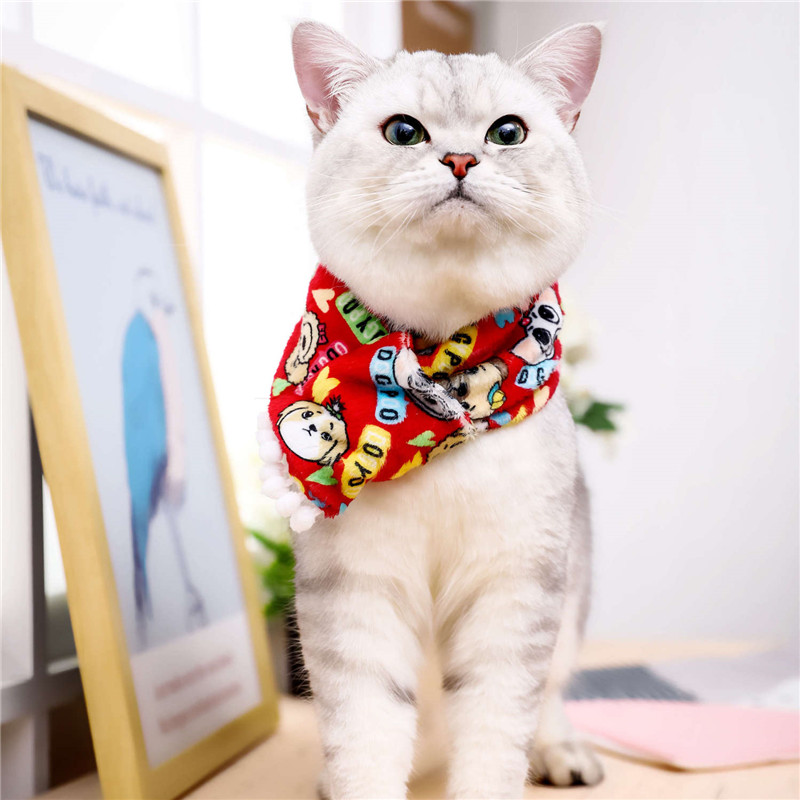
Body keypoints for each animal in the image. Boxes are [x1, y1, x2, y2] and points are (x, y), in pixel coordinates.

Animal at [260, 19, 604, 799]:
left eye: (508, 131)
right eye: (403, 131)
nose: (459, 158)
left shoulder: (517, 587)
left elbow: (497, 730)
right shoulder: (353, 594)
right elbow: (364, 736)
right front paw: (354, 781)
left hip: (570, 609)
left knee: (551, 699)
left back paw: (562, 752)